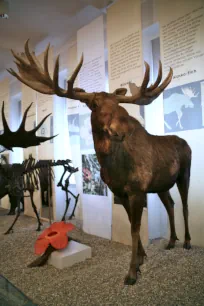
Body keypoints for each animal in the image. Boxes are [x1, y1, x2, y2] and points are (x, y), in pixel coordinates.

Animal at [7, 40, 192, 284]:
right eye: (94, 104)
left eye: (118, 103)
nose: (122, 129)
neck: (114, 167)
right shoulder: (120, 191)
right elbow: (132, 224)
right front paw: (140, 259)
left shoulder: (137, 190)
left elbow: (135, 229)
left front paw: (132, 272)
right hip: (161, 184)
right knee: (170, 204)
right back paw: (171, 241)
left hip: (185, 173)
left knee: (185, 205)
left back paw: (187, 241)